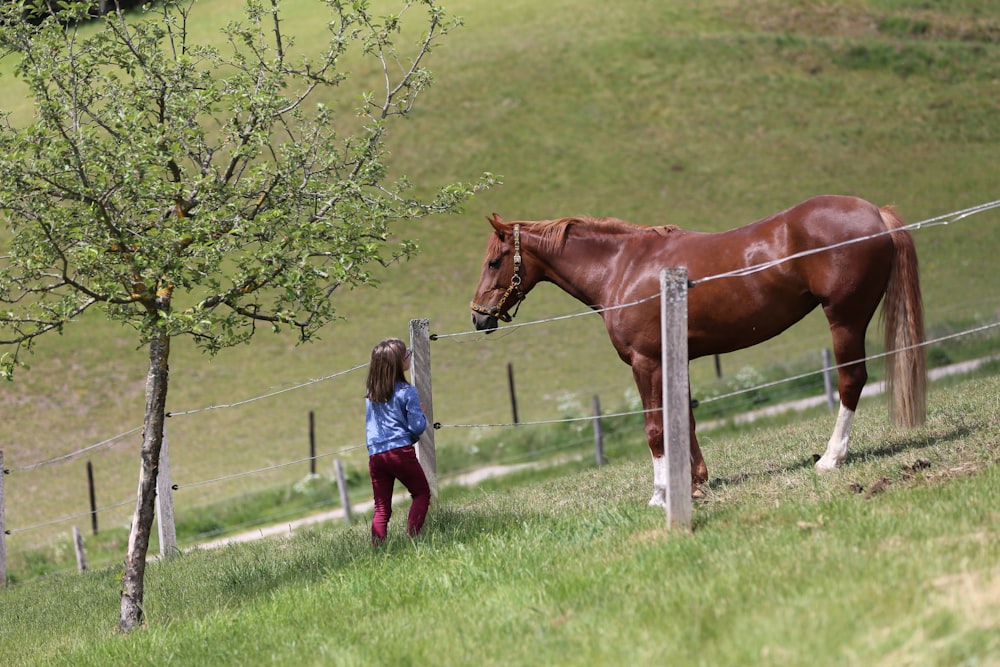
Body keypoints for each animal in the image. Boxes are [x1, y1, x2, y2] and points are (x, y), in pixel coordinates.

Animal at [472, 194, 924, 506]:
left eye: (494, 262)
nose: (478, 317)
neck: (624, 267)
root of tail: (874, 212)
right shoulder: (675, 359)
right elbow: (683, 419)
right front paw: (695, 483)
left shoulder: (646, 363)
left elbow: (656, 427)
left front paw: (661, 494)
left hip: (845, 318)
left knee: (852, 380)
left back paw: (831, 458)